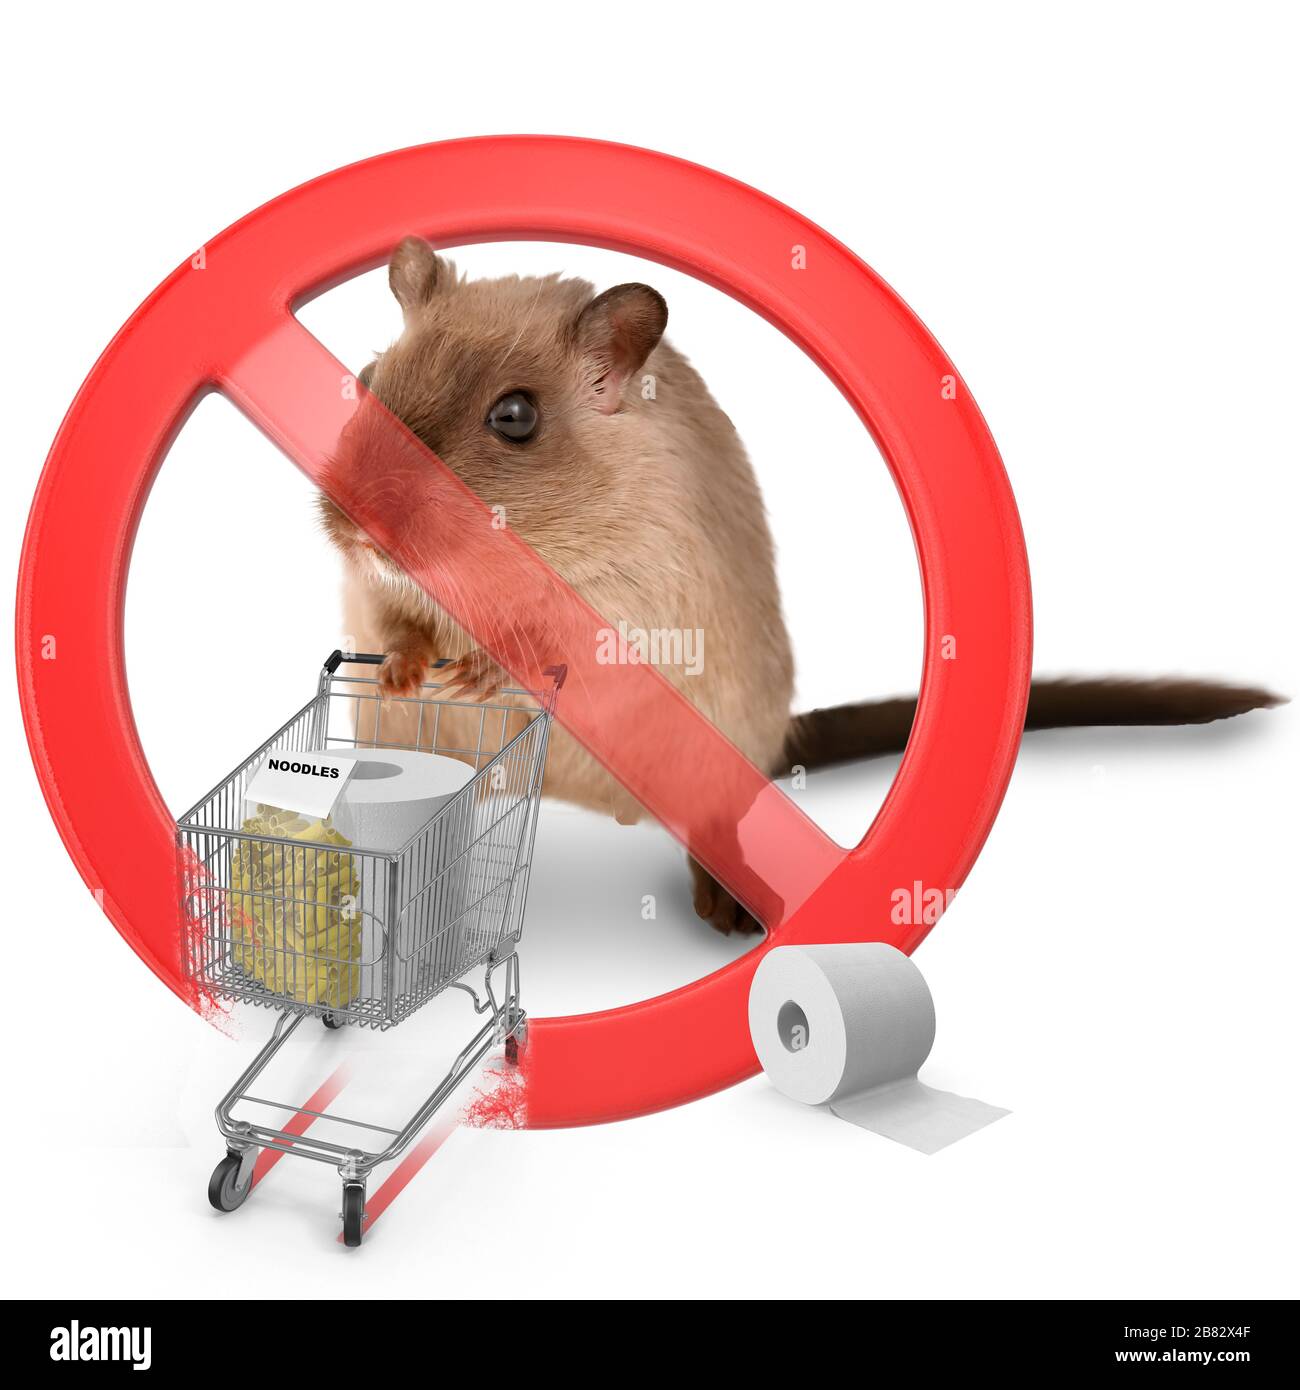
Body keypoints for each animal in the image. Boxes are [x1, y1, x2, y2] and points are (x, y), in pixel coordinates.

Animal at [319, 237, 1281, 933]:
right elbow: (396, 622)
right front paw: (410, 669)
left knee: (714, 826)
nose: (359, 524)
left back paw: (736, 910)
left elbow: (553, 645)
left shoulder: (631, 608)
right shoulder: (379, 593)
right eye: (365, 381)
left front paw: (479, 671)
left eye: (515, 416)